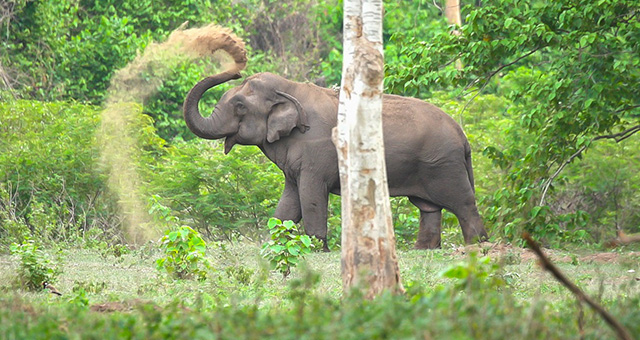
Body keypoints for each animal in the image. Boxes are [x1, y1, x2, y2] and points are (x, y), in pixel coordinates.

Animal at [182, 69, 488, 250]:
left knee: (463, 204)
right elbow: (289, 202)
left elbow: (311, 196)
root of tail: (463, 136)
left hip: (443, 164)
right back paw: (425, 250)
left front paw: (318, 249)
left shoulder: (316, 152)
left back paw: (477, 247)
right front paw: (274, 246)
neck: (291, 88)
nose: (236, 70)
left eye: (240, 106)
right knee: (429, 208)